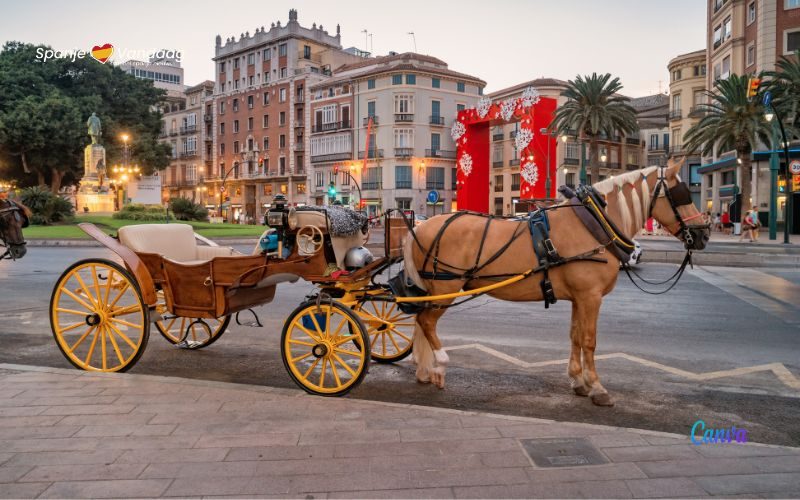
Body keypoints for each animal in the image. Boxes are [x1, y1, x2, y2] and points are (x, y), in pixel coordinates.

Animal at [404, 160, 708, 406]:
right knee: (427, 321)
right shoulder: (591, 296)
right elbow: (590, 340)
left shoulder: (579, 297)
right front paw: (597, 387)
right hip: (445, 288)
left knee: (420, 319)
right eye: (681, 194)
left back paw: (424, 369)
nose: (703, 234)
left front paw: (577, 380)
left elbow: (575, 336)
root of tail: (421, 226)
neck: (593, 224)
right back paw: (440, 365)